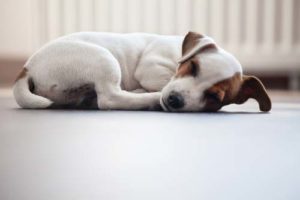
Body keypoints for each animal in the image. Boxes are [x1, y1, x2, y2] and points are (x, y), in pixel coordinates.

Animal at [13, 32, 272, 111]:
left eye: (214, 97)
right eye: (193, 67)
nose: (175, 100)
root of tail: (27, 68)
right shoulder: (151, 68)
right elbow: (160, 79)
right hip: (103, 58)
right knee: (109, 99)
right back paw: (150, 98)